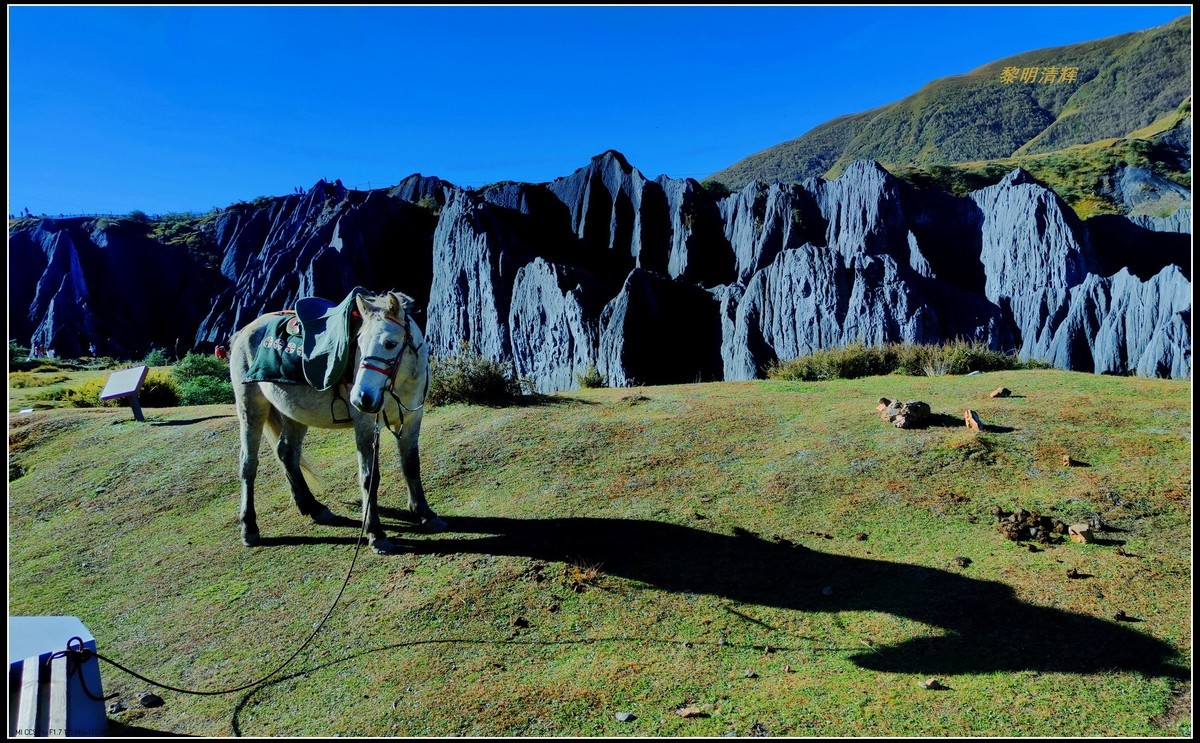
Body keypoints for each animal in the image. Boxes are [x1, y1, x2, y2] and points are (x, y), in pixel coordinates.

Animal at [228, 290, 446, 552]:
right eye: (359, 343)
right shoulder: (366, 425)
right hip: (251, 407)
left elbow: (411, 465)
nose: (361, 398)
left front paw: (425, 514)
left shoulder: (413, 420)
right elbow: (369, 477)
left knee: (287, 454)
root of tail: (244, 331)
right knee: (248, 463)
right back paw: (249, 527)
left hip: (293, 414)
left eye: (390, 343)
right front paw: (375, 533)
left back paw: (313, 508)